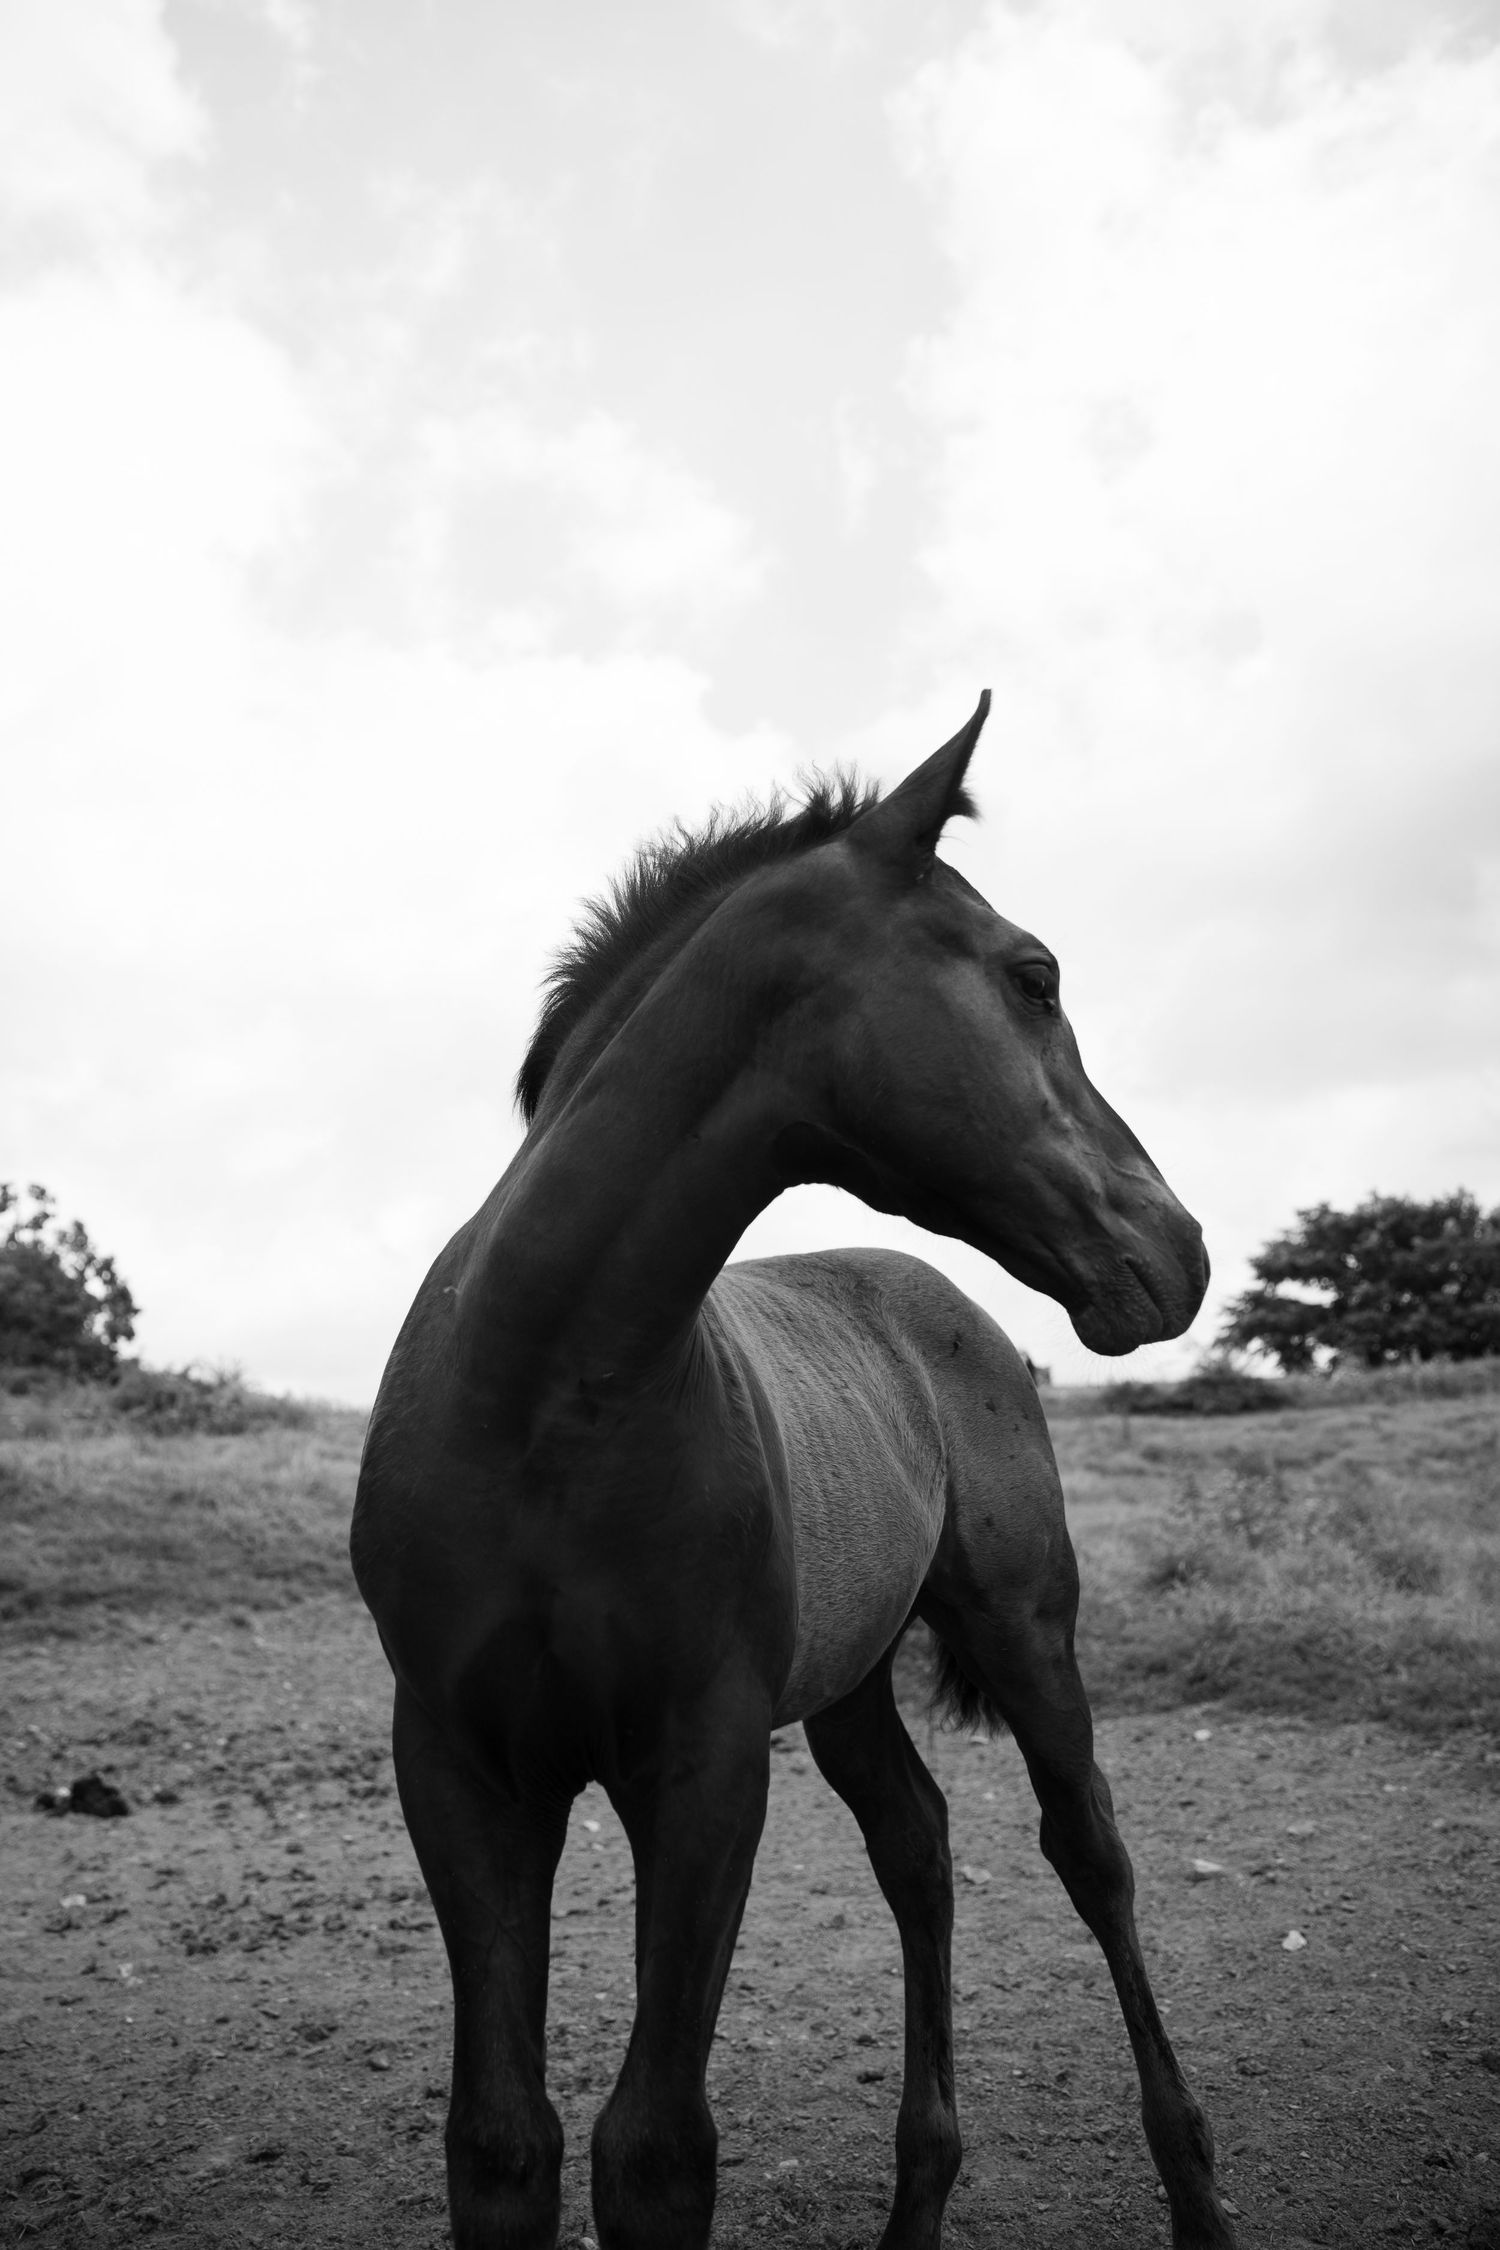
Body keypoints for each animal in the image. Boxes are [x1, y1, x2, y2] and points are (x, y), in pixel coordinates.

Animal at [350, 693, 1238, 2250]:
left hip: (1027, 1631)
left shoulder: (702, 1765)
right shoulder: (459, 1765)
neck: (542, 1406)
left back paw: (1195, 2193)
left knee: (1092, 1856)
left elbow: (654, 2149)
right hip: (851, 1685)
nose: (1177, 1247)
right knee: (918, 1850)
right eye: (1034, 974)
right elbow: (503, 2143)